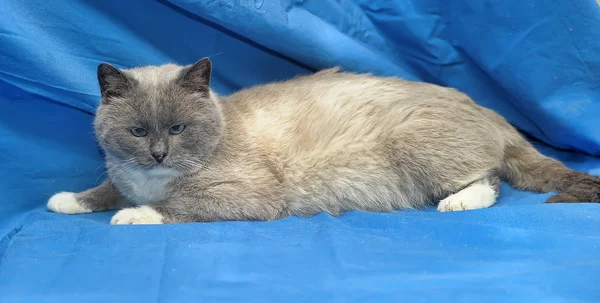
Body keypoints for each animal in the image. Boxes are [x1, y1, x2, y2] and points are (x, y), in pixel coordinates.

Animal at [45, 58, 600, 224]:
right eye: (139, 132)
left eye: (178, 129)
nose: (159, 153)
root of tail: (491, 112)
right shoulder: (121, 174)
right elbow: (106, 190)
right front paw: (68, 200)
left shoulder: (250, 197)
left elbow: (176, 205)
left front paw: (134, 215)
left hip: (415, 148)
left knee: (489, 180)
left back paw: (458, 204)